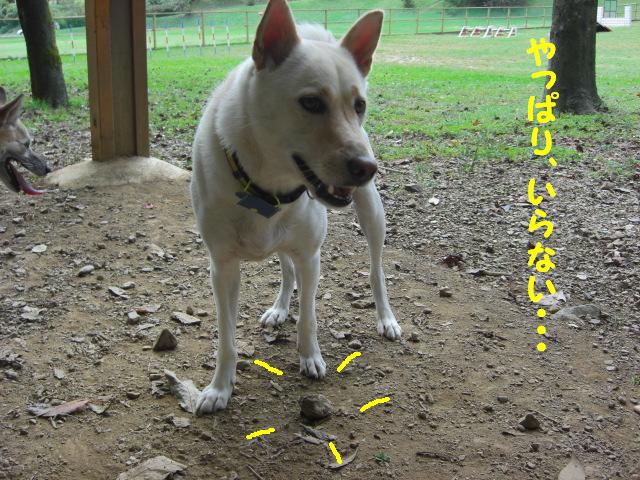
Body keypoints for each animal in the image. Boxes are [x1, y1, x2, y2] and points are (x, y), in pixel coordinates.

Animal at [191, 0, 401, 414]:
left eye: (359, 105)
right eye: (311, 102)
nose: (366, 168)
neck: (267, 184)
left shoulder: (310, 256)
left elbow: (309, 317)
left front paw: (311, 358)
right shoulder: (222, 268)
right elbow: (226, 337)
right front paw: (220, 388)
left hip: (372, 214)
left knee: (376, 270)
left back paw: (385, 317)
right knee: (285, 268)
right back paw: (279, 307)